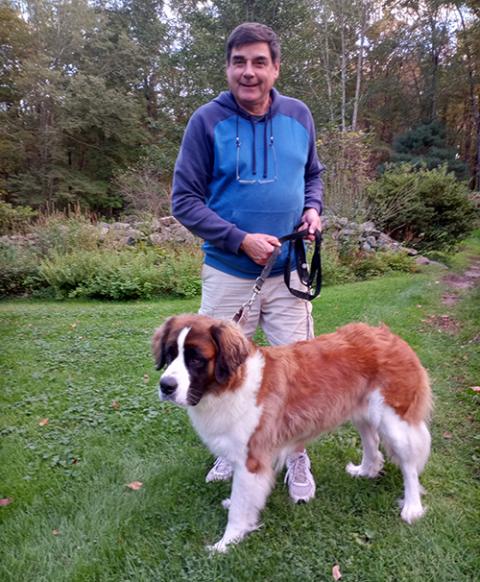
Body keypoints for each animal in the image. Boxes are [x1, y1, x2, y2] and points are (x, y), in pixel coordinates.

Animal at [153, 314, 432, 552]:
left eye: (196, 360)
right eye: (170, 354)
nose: (166, 386)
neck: (231, 384)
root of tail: (389, 335)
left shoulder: (251, 460)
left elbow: (239, 507)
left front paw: (226, 542)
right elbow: (243, 497)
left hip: (395, 423)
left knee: (409, 466)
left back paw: (412, 507)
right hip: (362, 413)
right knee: (371, 442)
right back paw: (365, 470)